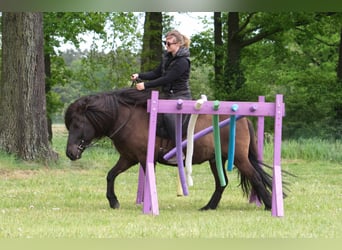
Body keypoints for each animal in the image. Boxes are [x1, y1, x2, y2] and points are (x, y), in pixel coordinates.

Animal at [64, 88, 284, 211]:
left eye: (77, 124)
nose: (70, 153)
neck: (127, 118)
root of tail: (243, 118)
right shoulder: (128, 158)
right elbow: (110, 175)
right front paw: (113, 202)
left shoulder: (143, 158)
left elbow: (147, 179)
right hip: (216, 160)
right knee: (222, 184)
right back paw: (209, 207)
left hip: (239, 159)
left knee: (255, 177)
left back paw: (269, 206)